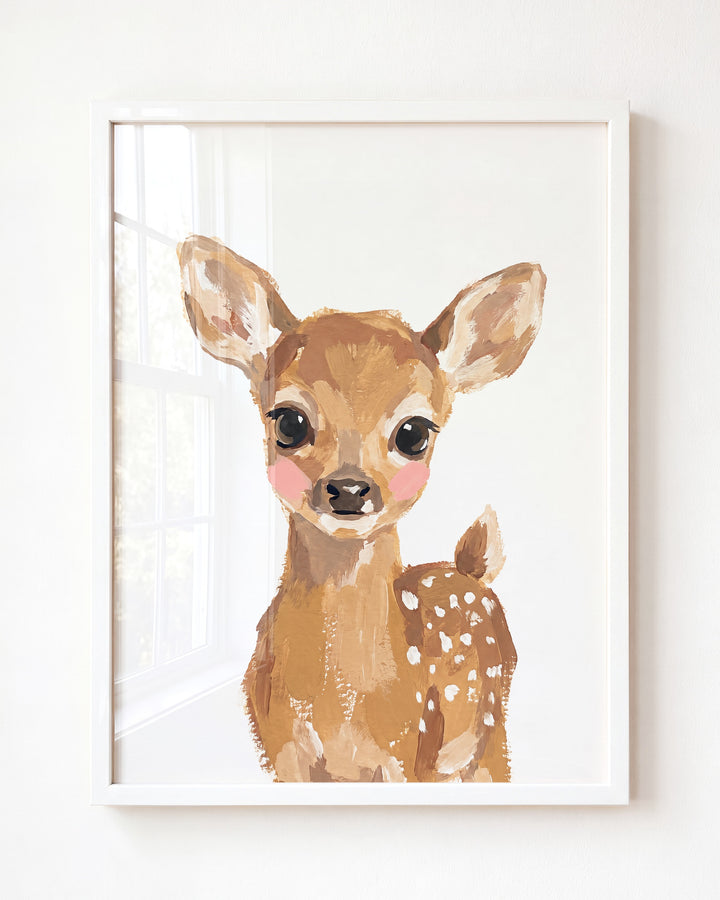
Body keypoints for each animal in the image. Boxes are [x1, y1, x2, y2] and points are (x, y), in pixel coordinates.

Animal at [178, 235, 545, 783]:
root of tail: (470, 570)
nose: (349, 488)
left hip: (489, 731)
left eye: (414, 432)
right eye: (288, 421)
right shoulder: (281, 753)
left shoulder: (406, 753)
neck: (342, 705)